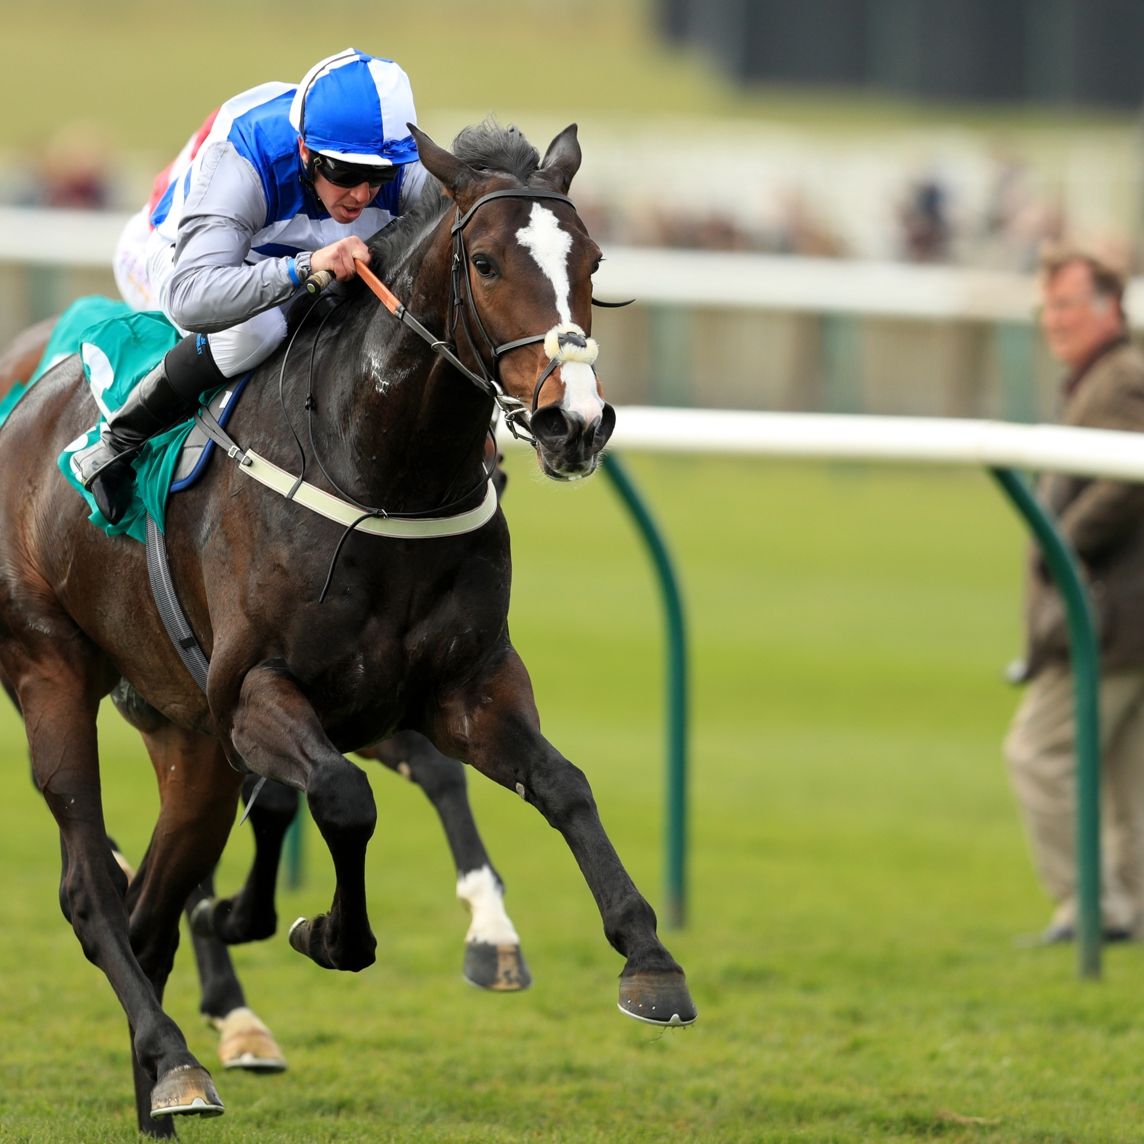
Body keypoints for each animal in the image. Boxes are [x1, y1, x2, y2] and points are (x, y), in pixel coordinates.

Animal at [0, 119, 695, 1135]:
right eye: (485, 262)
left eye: (593, 260)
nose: (575, 421)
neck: (380, 469)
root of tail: (33, 393)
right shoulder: (258, 693)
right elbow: (341, 799)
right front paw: (326, 929)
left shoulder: (463, 686)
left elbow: (562, 786)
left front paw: (647, 960)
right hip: (50, 667)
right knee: (94, 891)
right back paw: (179, 1055)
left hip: (187, 741)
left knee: (151, 907)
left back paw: (168, 1080)